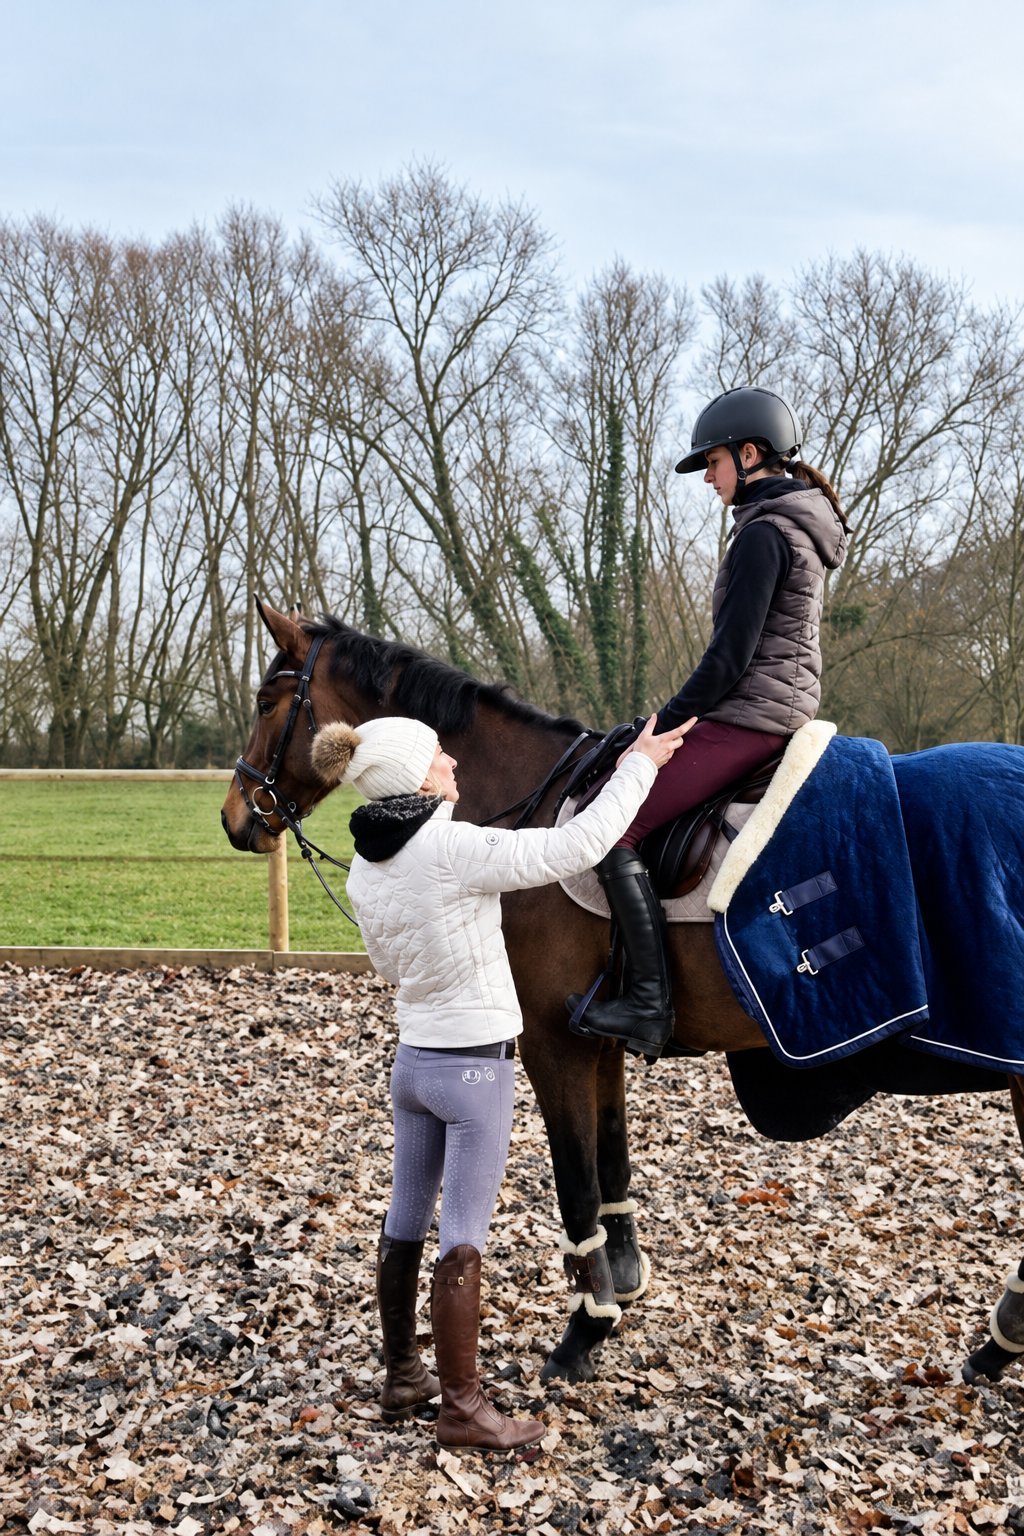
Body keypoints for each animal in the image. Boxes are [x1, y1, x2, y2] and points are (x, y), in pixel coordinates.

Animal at [221, 600, 1024, 1388]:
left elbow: (574, 1180)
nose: (235, 817)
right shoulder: (599, 1038)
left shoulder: (552, 1041)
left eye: (264, 702)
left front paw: (586, 1328)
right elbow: (611, 1157)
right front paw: (623, 1282)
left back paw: (1000, 1340)